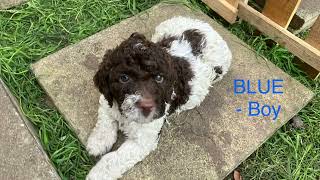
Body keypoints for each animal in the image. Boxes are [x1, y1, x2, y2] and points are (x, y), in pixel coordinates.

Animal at [85, 16, 231, 179]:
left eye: (159, 78)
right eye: (124, 78)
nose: (146, 106)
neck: (125, 115)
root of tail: (210, 28)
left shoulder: (144, 140)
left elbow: (116, 158)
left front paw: (98, 174)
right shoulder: (107, 101)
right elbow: (105, 122)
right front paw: (98, 142)